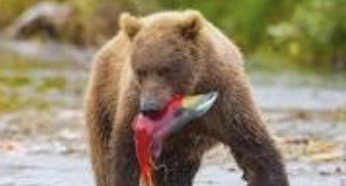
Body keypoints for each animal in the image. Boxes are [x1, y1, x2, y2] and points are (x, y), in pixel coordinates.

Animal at [84, 9, 290, 186]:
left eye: (164, 70)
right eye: (140, 71)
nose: (150, 108)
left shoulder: (225, 97)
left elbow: (254, 148)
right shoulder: (133, 102)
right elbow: (125, 155)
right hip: (103, 100)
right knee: (103, 157)